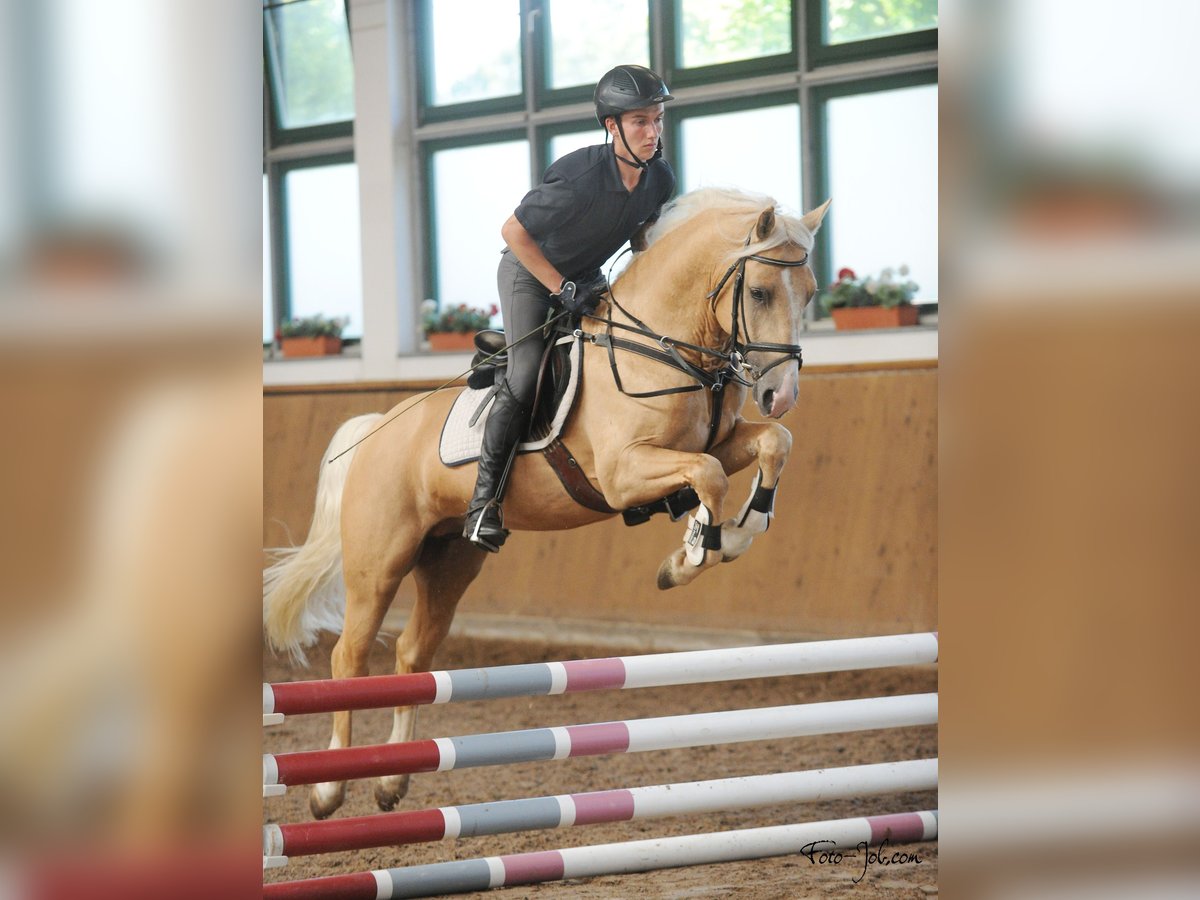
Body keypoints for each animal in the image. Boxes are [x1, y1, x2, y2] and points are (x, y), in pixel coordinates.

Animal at [266, 188, 830, 816]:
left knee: (413, 654)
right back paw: (328, 788)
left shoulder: (718, 444)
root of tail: (377, 428)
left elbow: (773, 444)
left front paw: (736, 532)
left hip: (450, 560)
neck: (662, 348)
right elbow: (709, 479)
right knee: (350, 657)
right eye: (759, 293)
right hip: (379, 562)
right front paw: (689, 555)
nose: (780, 393)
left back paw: (393, 779)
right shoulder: (624, 472)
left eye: (809, 292)